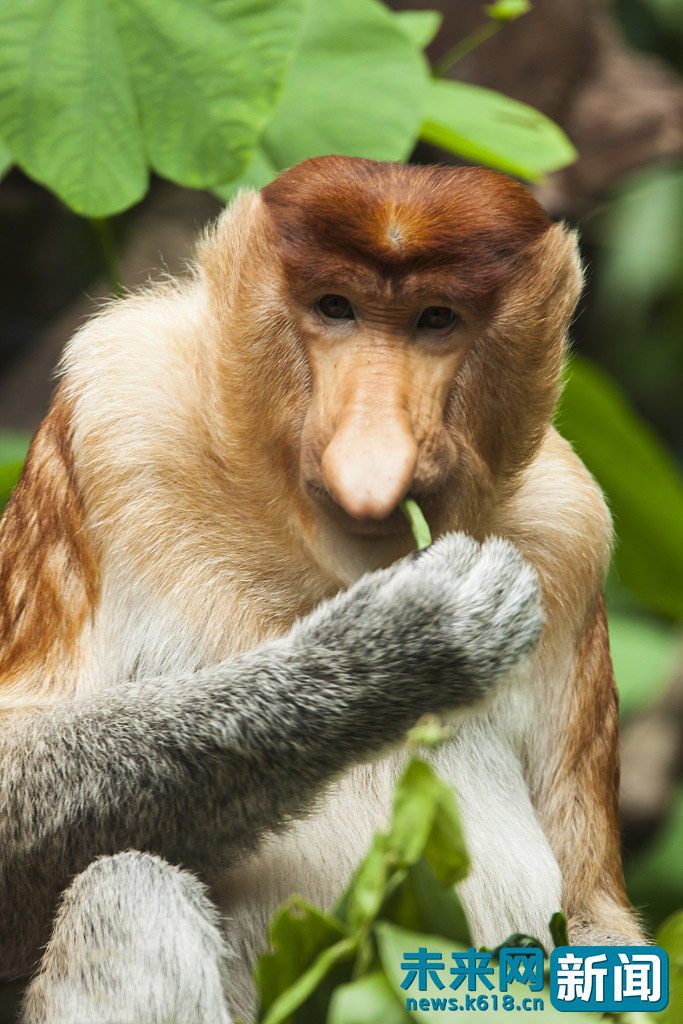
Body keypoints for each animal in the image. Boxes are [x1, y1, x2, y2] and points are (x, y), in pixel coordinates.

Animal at [0, 157, 643, 1024]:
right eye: (335, 308)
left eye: (435, 320)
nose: (372, 461)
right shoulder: (115, 413)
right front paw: (410, 642)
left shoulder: (569, 529)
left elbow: (589, 915)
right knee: (129, 890)